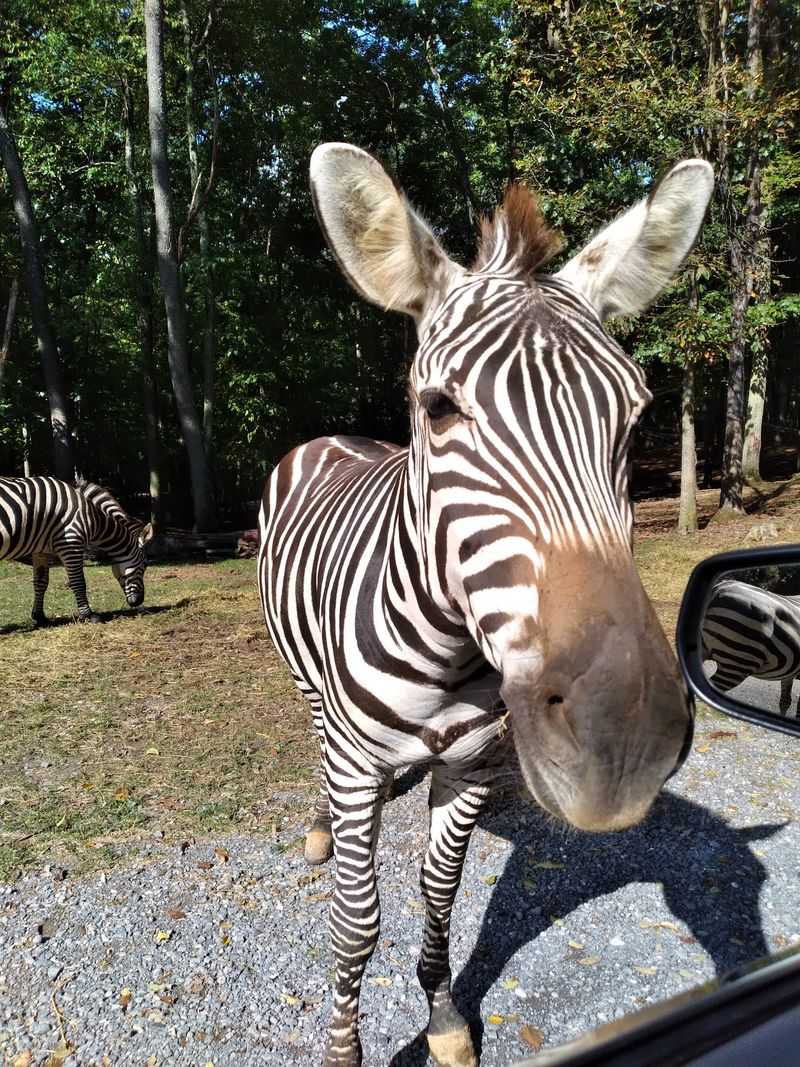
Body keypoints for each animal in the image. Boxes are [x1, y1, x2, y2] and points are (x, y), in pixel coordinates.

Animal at [0, 475, 153, 625]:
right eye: (145, 565)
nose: (139, 601)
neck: (93, 517)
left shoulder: (41, 551)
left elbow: (41, 582)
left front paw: (39, 616)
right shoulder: (71, 543)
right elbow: (78, 582)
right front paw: (89, 615)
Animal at [258, 143, 707, 1067]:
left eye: (636, 414)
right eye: (439, 408)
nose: (623, 742)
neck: (447, 652)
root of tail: (332, 436)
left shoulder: (467, 767)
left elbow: (440, 894)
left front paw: (443, 1018)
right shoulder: (356, 762)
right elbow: (357, 925)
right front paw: (345, 1047)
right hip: (307, 688)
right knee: (316, 733)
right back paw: (321, 824)